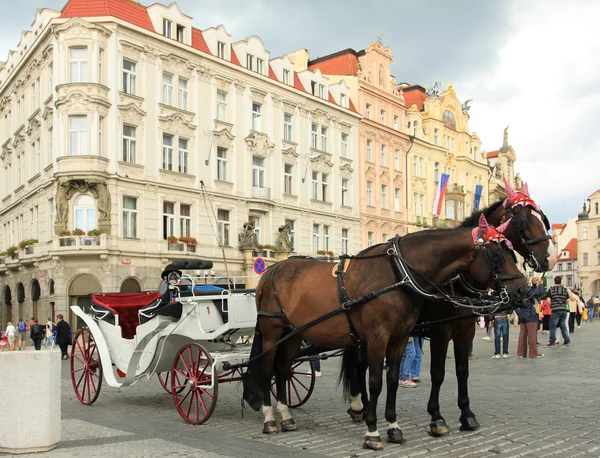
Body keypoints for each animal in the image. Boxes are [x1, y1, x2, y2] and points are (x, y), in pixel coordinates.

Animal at [241, 216, 528, 450]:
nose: (523, 291)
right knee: (266, 369)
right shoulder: (383, 338)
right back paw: (270, 419)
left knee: (282, 369)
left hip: (294, 334)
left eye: (512, 252)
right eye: (497, 255)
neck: (399, 274)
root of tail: (271, 270)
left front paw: (393, 427)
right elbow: (378, 381)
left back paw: (287, 417)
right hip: (272, 331)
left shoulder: (401, 339)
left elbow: (392, 380)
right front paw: (373, 432)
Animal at [340, 181, 556, 438]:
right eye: (524, 220)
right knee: (360, 364)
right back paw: (360, 406)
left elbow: (462, 370)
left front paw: (467, 414)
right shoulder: (441, 333)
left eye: (543, 219)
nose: (550, 259)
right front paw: (436, 417)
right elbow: (438, 372)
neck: (458, 278)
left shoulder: (465, 332)